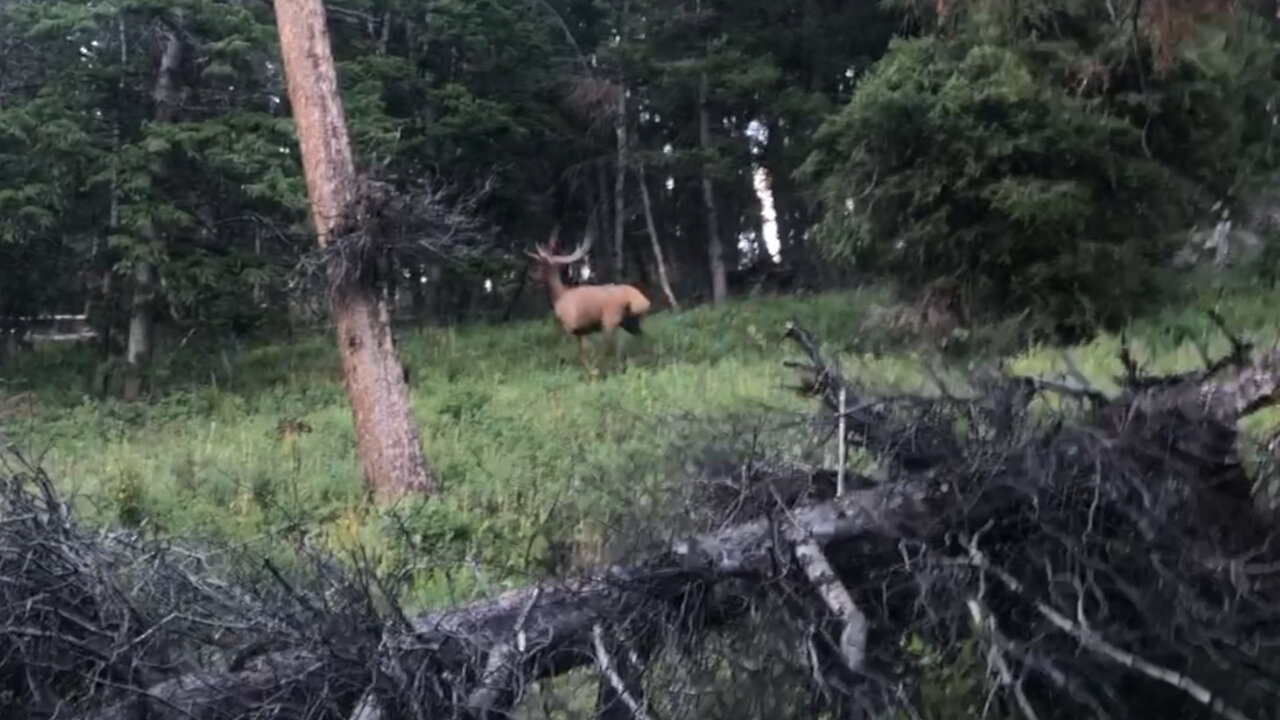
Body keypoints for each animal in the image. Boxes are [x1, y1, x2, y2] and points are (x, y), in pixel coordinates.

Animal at [524, 222, 655, 368]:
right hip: (631, 321)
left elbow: (571, 351)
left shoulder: (570, 325)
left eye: (539, 266)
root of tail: (642, 301)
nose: (530, 277)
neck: (559, 295)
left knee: (611, 348)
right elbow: (581, 353)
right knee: (644, 338)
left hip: (610, 319)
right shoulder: (580, 331)